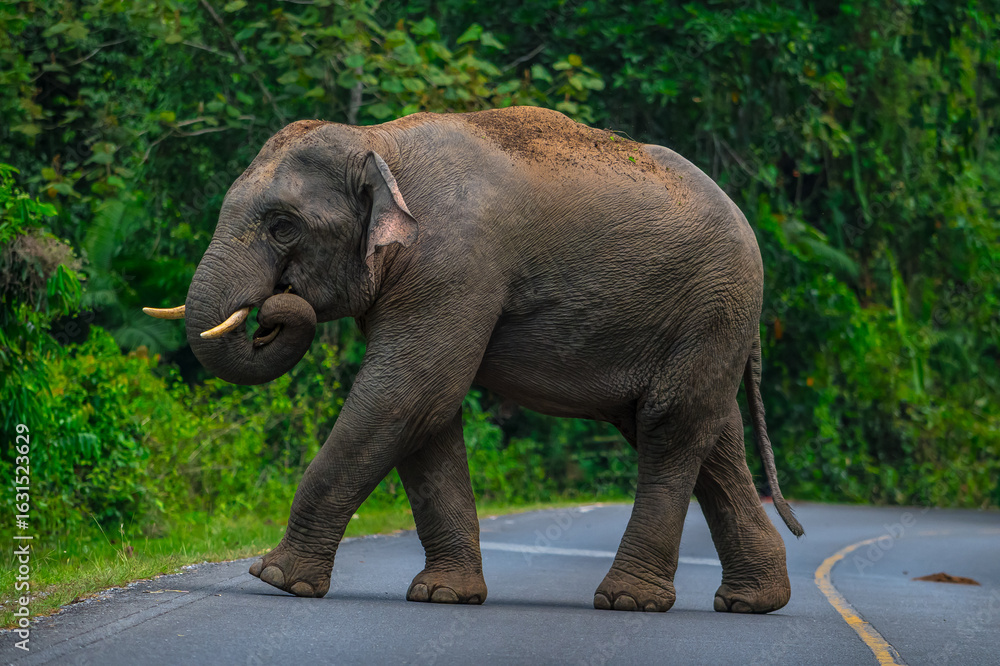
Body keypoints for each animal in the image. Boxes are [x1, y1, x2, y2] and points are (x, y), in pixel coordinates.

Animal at [145, 105, 803, 613]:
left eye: (283, 226)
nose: (273, 310)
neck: (379, 143)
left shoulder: (454, 263)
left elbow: (410, 394)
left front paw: (277, 580)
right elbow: (426, 416)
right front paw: (442, 596)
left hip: (711, 307)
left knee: (669, 429)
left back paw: (628, 602)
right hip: (703, 322)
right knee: (704, 434)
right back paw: (751, 602)